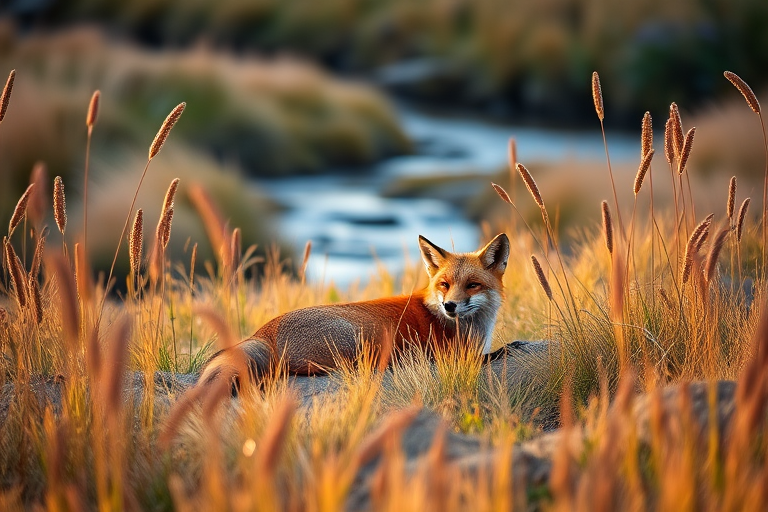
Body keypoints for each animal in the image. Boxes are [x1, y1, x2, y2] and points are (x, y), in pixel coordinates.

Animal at [198, 233, 510, 390]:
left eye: (472, 285)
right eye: (444, 285)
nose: (449, 306)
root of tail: (265, 331)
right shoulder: (454, 356)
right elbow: (494, 354)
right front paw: (508, 348)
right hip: (357, 341)